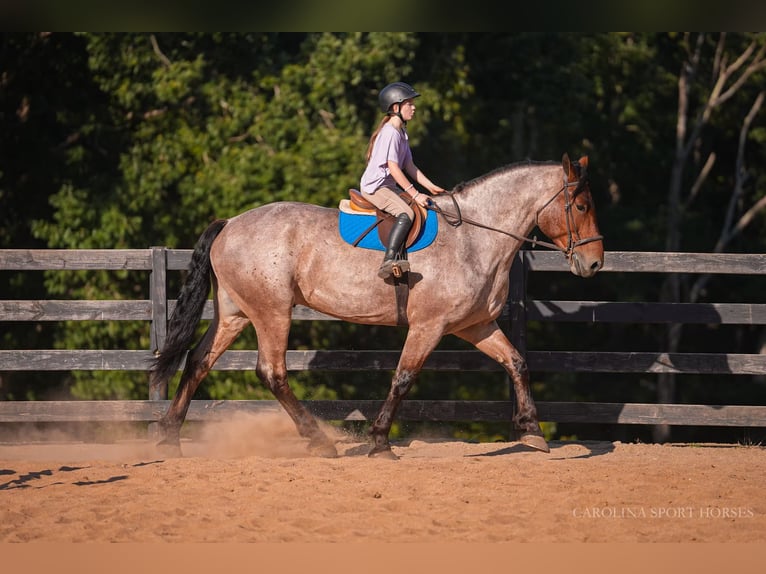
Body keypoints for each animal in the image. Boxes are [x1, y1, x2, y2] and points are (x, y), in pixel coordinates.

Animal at [150, 153, 604, 459]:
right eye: (581, 206)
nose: (594, 263)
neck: (474, 238)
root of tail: (230, 224)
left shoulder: (474, 326)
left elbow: (517, 363)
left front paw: (532, 432)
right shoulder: (429, 326)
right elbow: (403, 378)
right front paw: (380, 441)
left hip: (235, 313)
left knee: (198, 362)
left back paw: (170, 436)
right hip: (271, 313)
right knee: (271, 372)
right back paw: (319, 441)